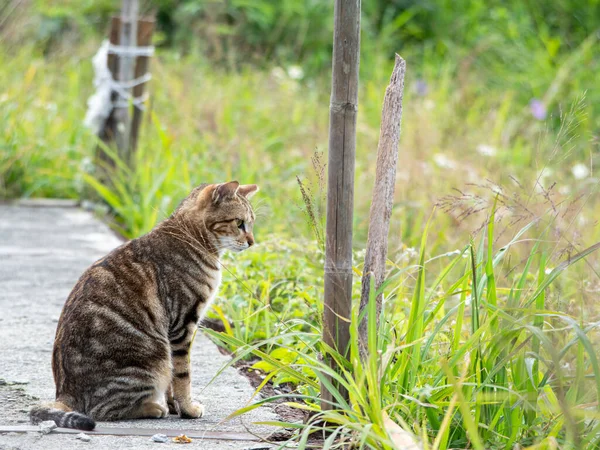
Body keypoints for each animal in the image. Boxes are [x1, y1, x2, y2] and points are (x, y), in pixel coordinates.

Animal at [29, 181, 258, 430]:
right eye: (239, 223)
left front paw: (175, 406)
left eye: (251, 223)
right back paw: (152, 408)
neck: (188, 235)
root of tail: (63, 394)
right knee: (103, 411)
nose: (252, 242)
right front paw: (187, 409)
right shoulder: (182, 325)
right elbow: (182, 375)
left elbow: (173, 381)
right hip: (153, 359)